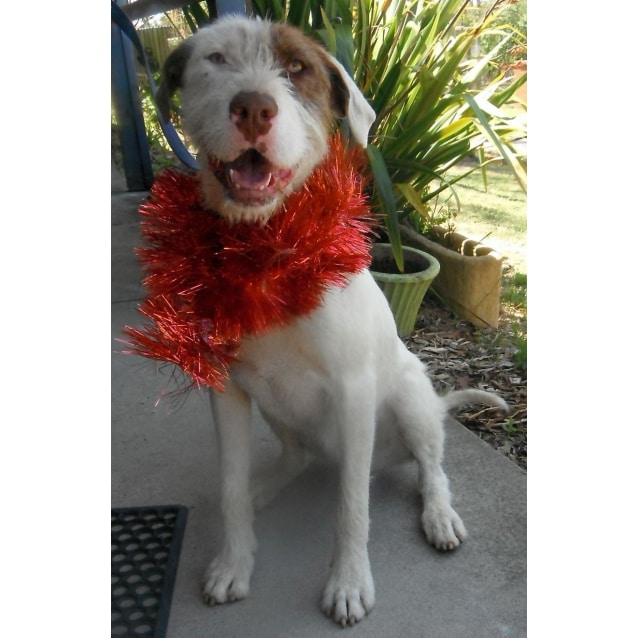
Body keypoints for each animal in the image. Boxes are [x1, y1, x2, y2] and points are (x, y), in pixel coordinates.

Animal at [156, 16, 510, 632]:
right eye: (216, 59)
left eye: (297, 69)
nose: (253, 108)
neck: (266, 253)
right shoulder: (225, 390)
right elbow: (228, 487)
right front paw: (233, 562)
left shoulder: (353, 391)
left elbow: (352, 508)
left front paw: (348, 583)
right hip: (280, 412)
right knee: (296, 456)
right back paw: (267, 484)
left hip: (410, 401)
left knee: (432, 468)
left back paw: (439, 515)